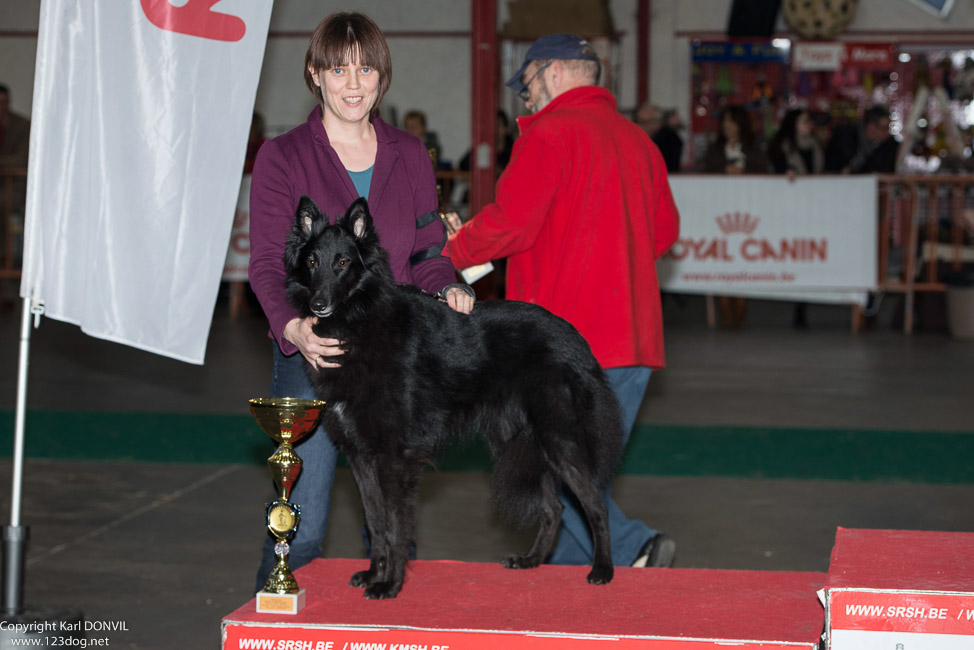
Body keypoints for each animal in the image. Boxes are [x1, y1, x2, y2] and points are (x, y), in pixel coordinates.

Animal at [286, 196, 628, 596]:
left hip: (559, 439)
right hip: (520, 442)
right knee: (554, 509)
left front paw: (391, 584)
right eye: (311, 262)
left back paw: (603, 569)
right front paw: (374, 574)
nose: (319, 304)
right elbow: (376, 521)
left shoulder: (395, 457)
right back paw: (530, 561)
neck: (359, 320)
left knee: (596, 506)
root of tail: (575, 338)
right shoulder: (360, 455)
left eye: (343, 263)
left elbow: (396, 524)